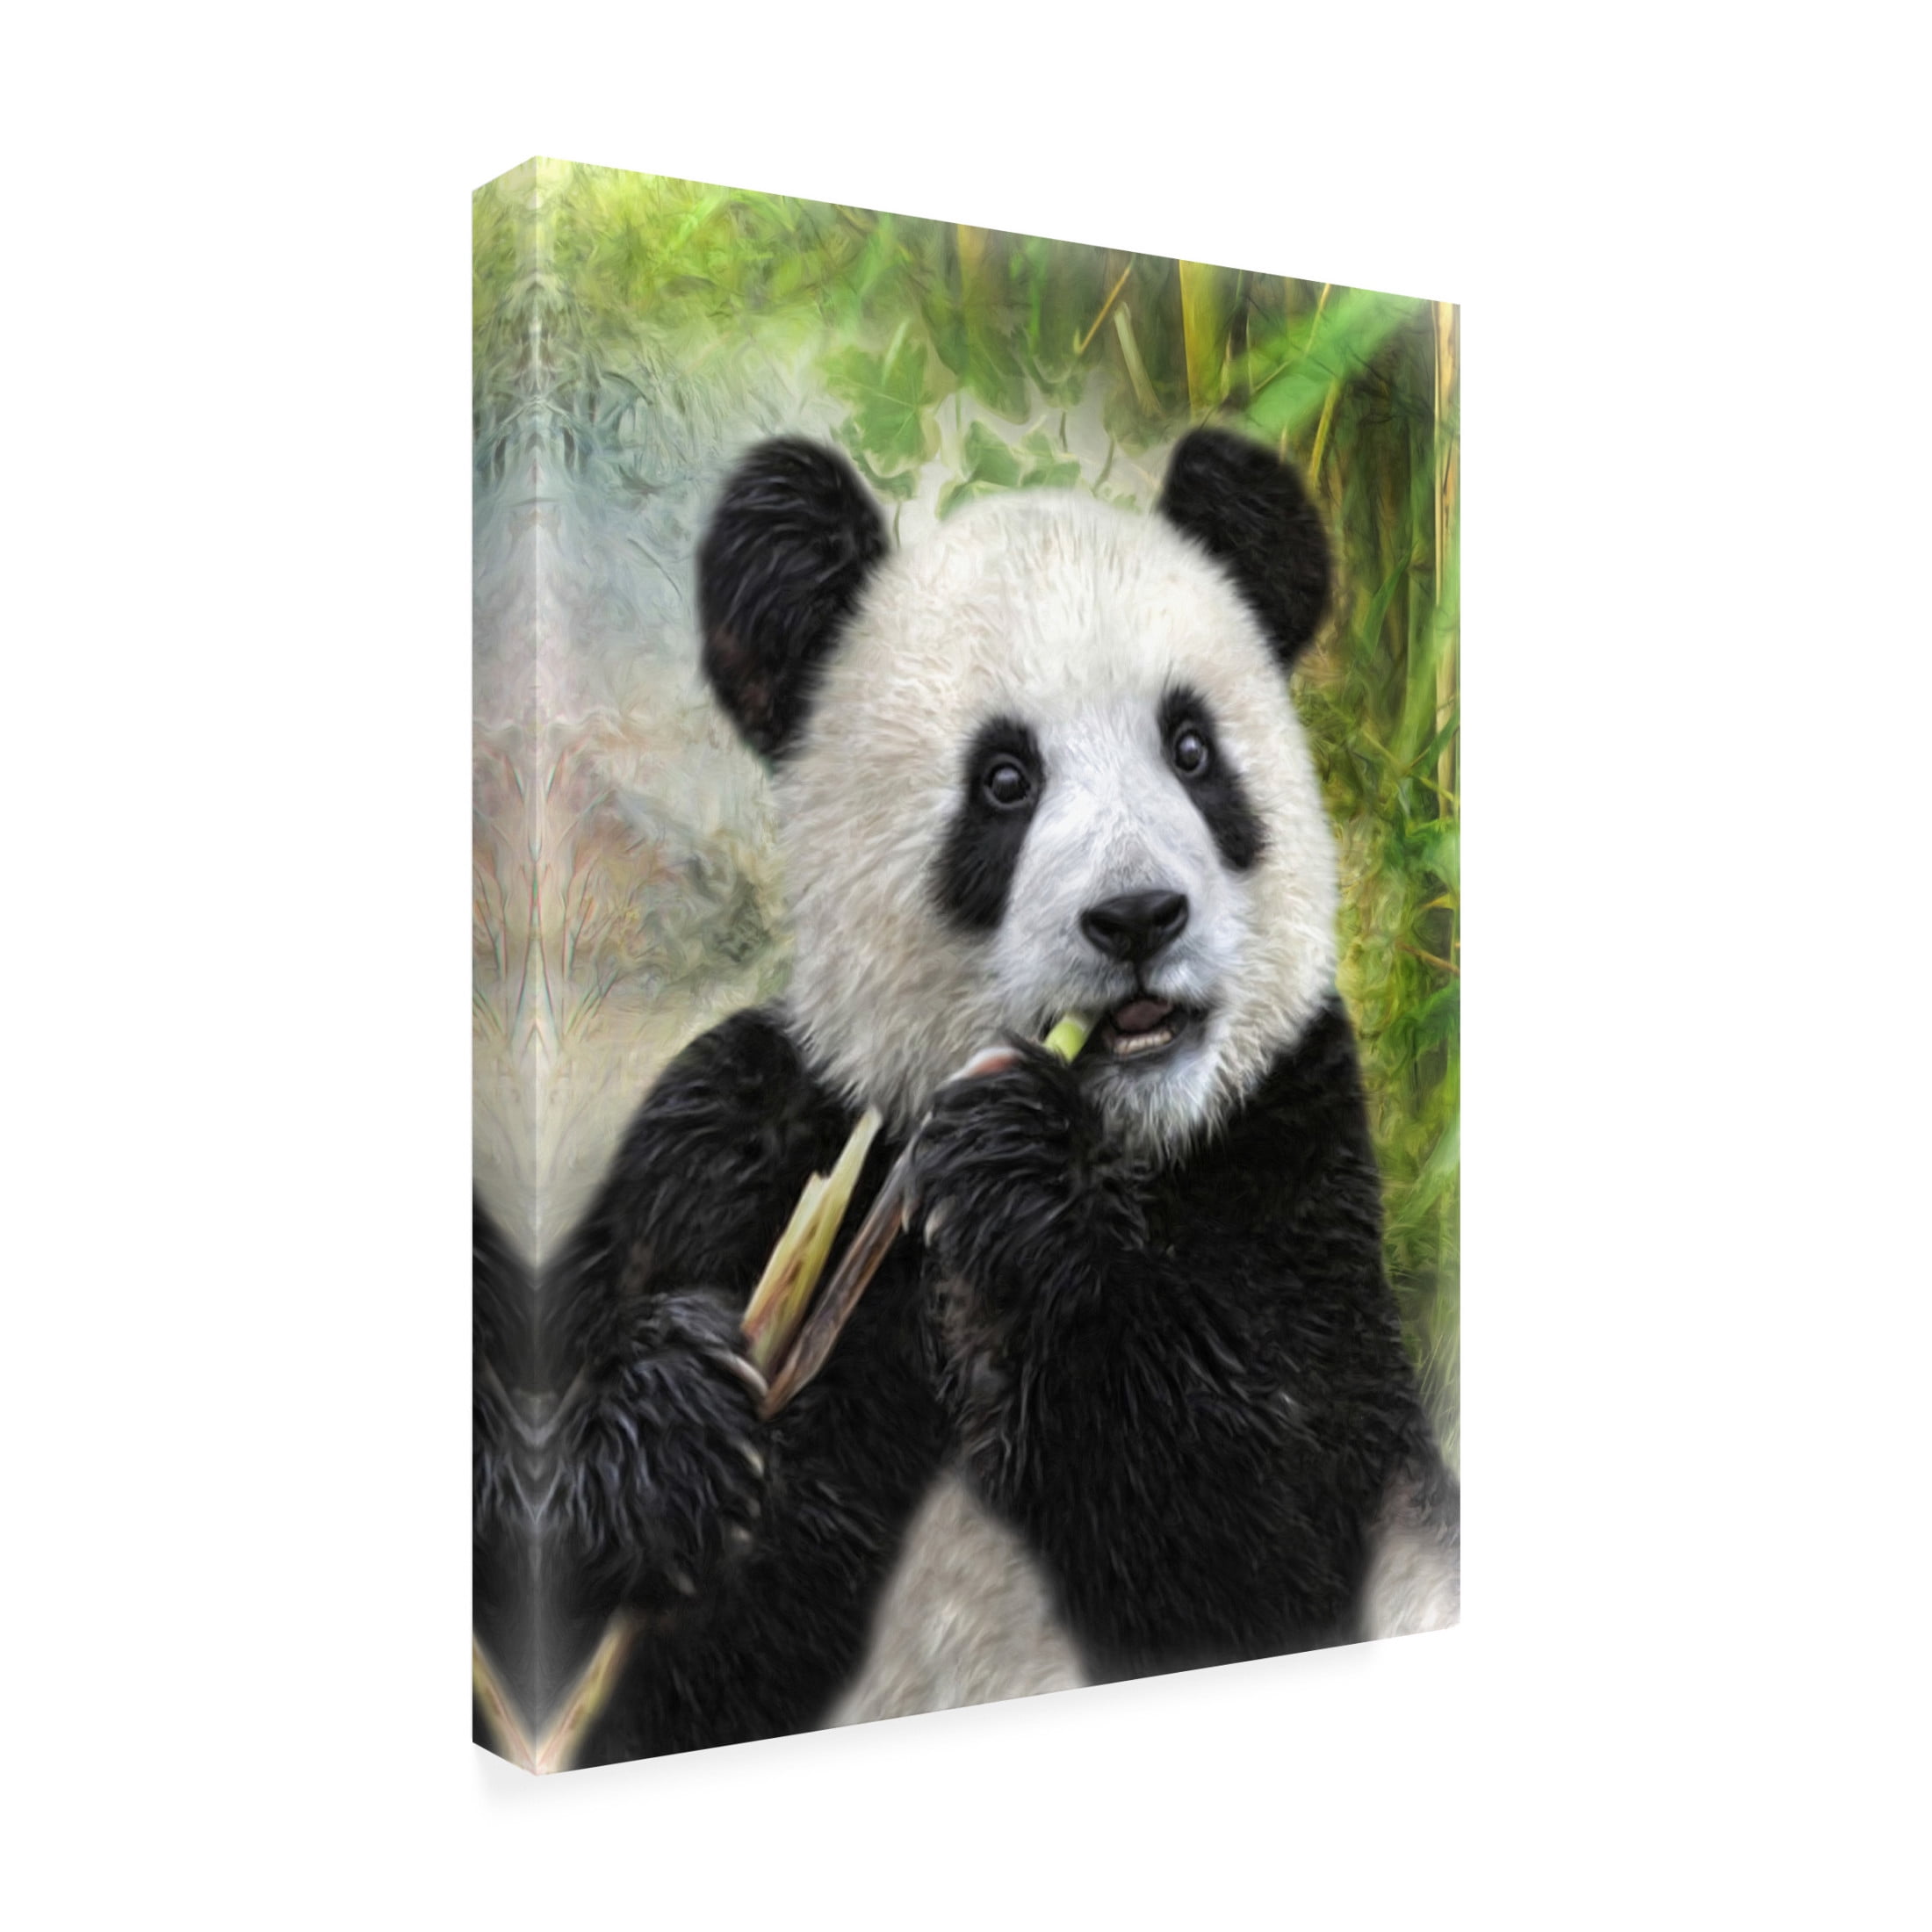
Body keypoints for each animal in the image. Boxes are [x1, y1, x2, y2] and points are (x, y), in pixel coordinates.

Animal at [538, 426, 1459, 1769]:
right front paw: (664, 1433)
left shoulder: (1292, 1152)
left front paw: (1024, 1192)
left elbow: (1257, 1531)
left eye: (1193, 752)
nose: (1137, 916)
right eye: (1006, 781)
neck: (1121, 1123)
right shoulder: (735, 1146)